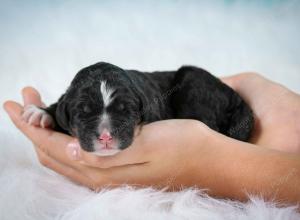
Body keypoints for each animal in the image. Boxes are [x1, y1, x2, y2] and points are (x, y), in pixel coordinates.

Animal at [22, 61, 254, 156]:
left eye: (126, 110)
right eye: (83, 112)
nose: (105, 137)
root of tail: (238, 100)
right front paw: (41, 113)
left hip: (195, 82)